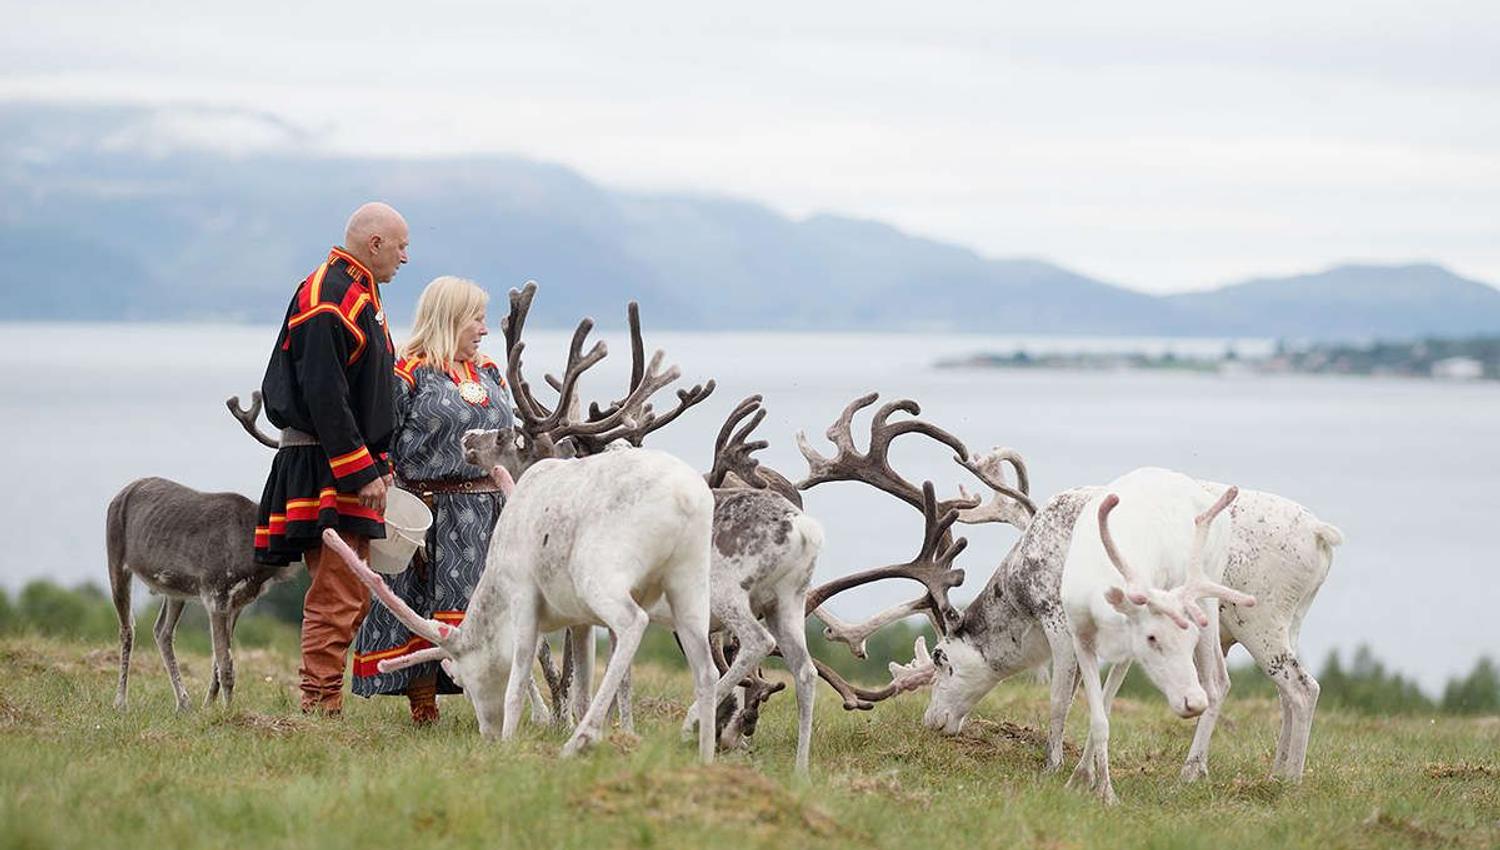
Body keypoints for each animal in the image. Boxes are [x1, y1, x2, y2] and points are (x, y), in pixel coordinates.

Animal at [106, 393, 298, 712]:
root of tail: (122, 491)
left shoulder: (239, 601)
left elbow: (218, 664)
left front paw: (209, 707)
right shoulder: (216, 590)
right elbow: (227, 665)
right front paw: (228, 713)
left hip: (175, 588)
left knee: (162, 631)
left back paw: (184, 703)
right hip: (115, 556)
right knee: (127, 627)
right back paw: (121, 702)